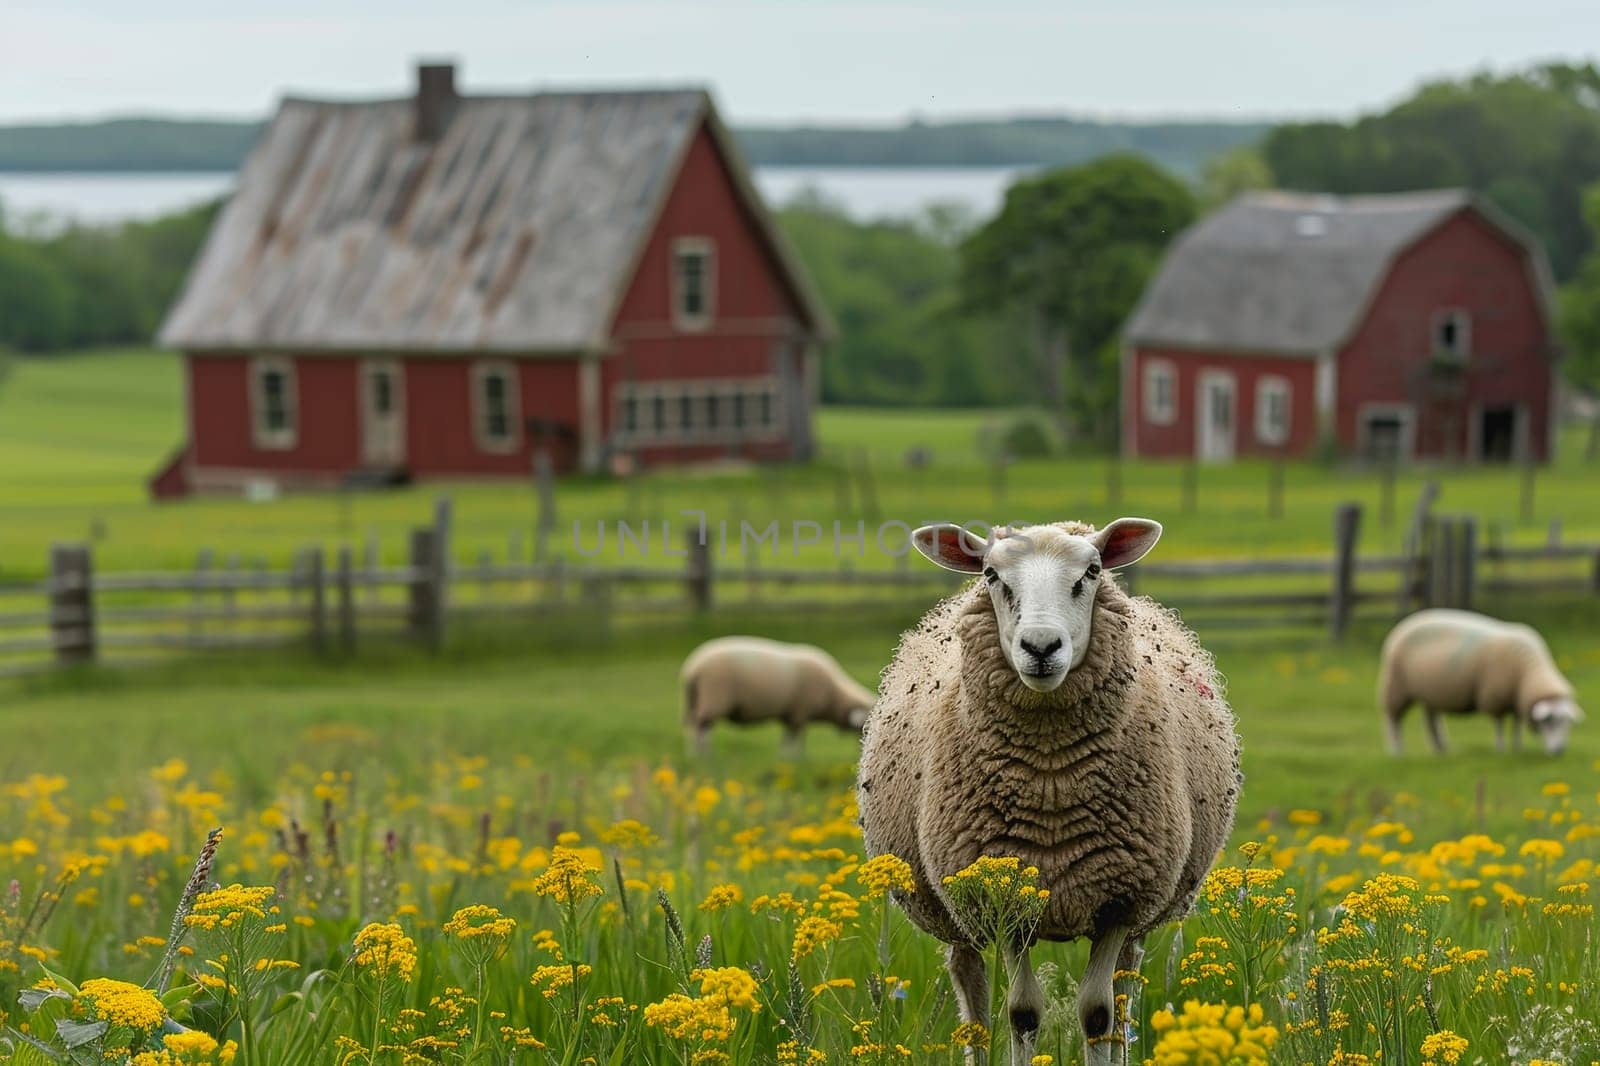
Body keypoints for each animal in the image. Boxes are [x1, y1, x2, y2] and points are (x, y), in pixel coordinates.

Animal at [675, 630, 876, 755]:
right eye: (864, 725)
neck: (833, 695)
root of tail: (693, 668)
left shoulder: (792, 715)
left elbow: (789, 740)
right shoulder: (800, 713)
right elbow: (794, 741)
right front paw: (794, 758)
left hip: (696, 700)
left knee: (695, 727)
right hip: (713, 699)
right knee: (702, 729)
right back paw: (703, 756)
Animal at [857, 515, 1241, 1062]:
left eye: (1093, 570)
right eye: (991, 574)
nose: (1040, 647)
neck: (1052, 785)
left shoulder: (1119, 899)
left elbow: (1099, 1013)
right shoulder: (1005, 892)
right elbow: (1022, 1013)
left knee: (1125, 994)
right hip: (953, 907)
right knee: (972, 993)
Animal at [1376, 605, 1587, 755]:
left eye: (1568, 722)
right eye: (1549, 721)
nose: (1559, 751)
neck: (1527, 672)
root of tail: (1406, 622)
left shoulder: (1517, 699)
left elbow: (1517, 725)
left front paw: (1517, 747)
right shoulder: (1496, 697)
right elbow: (1500, 724)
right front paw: (1501, 749)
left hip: (1431, 693)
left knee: (1431, 721)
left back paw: (1441, 749)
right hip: (1396, 687)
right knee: (1394, 720)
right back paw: (1397, 751)